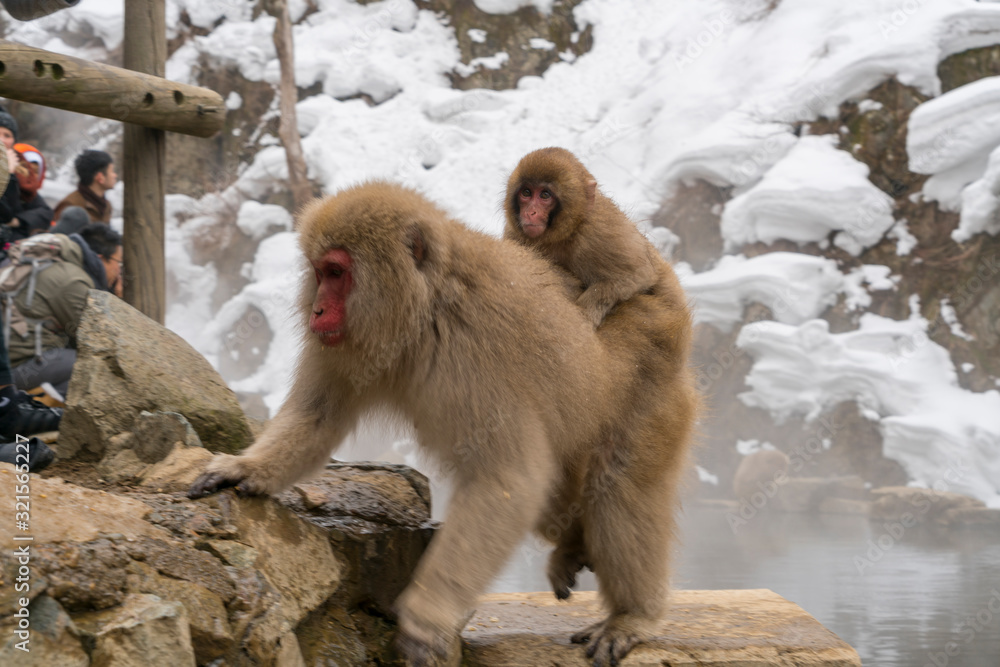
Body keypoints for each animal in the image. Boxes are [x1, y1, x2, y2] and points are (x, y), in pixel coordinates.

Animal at [188, 182, 697, 667]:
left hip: (648, 386)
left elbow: (507, 478)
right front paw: (245, 468)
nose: (316, 310)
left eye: (335, 273)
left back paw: (633, 616)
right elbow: (317, 417)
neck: (424, 309)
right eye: (317, 272)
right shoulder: (345, 342)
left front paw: (427, 616)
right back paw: (572, 546)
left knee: (620, 488)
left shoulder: (474, 352)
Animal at [504, 147, 659, 327]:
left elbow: (637, 276)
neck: (562, 236)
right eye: (526, 192)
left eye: (544, 195)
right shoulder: (513, 234)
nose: (530, 212)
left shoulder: (600, 232)